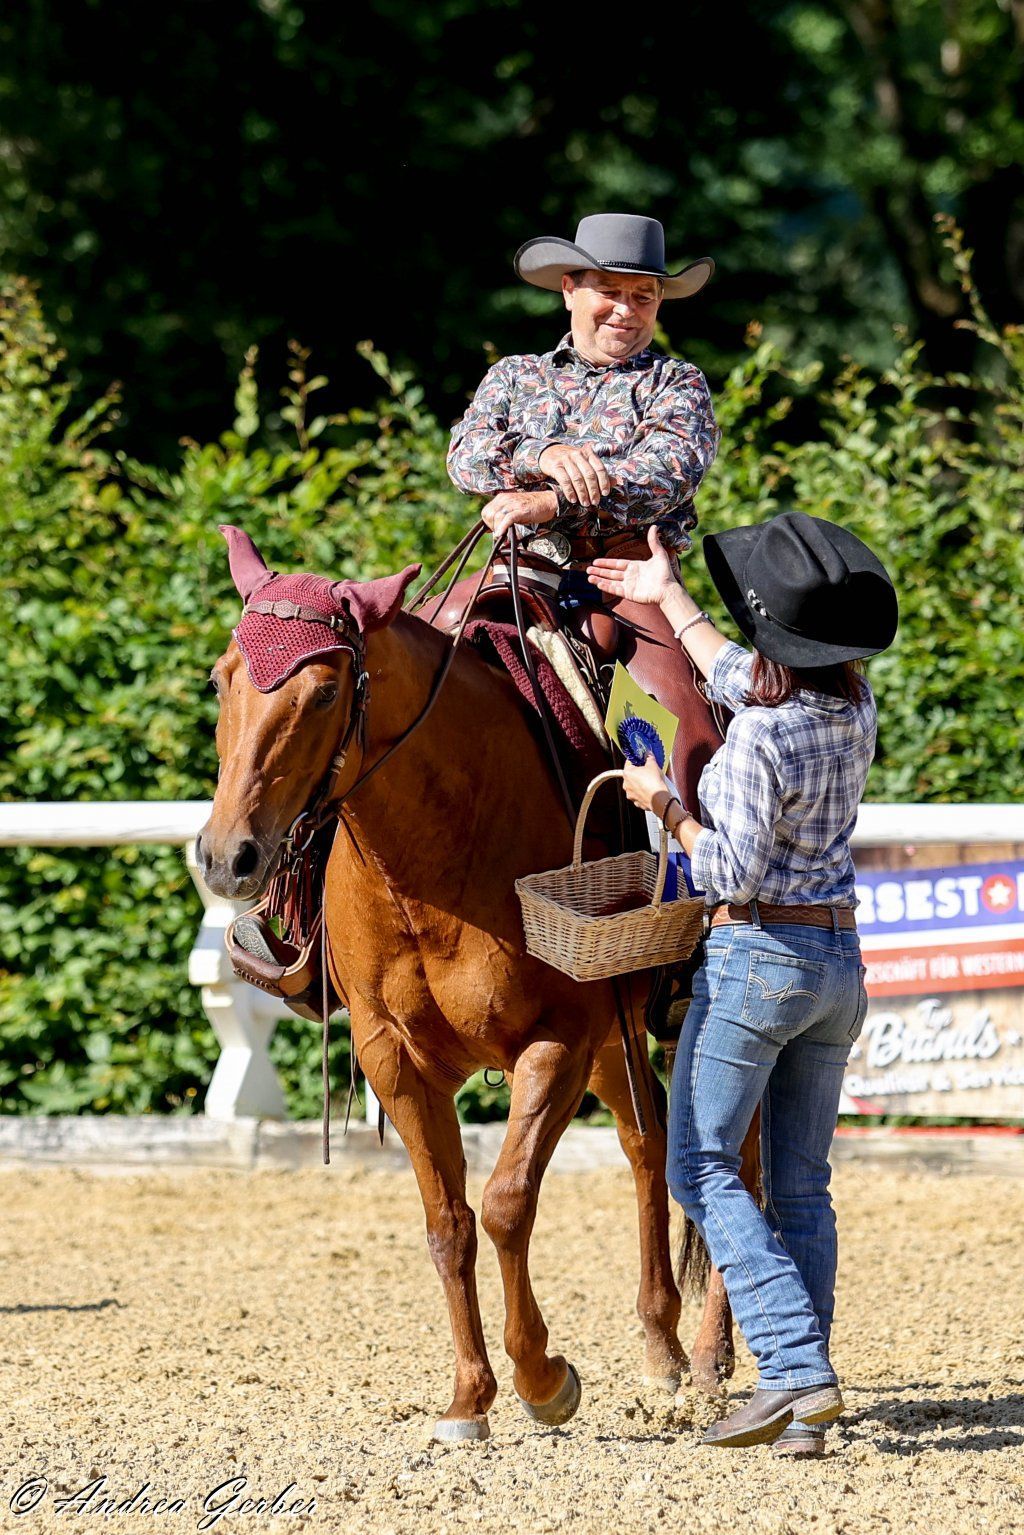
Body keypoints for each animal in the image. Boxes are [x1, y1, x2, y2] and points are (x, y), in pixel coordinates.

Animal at [195, 525, 754, 1442]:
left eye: (324, 692)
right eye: (221, 678)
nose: (226, 856)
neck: (433, 855)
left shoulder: (555, 1042)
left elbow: (504, 1202)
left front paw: (542, 1377)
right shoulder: (393, 1055)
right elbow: (448, 1221)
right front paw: (468, 1397)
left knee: (737, 1158)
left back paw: (708, 1360)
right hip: (618, 1042)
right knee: (648, 1147)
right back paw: (661, 1346)